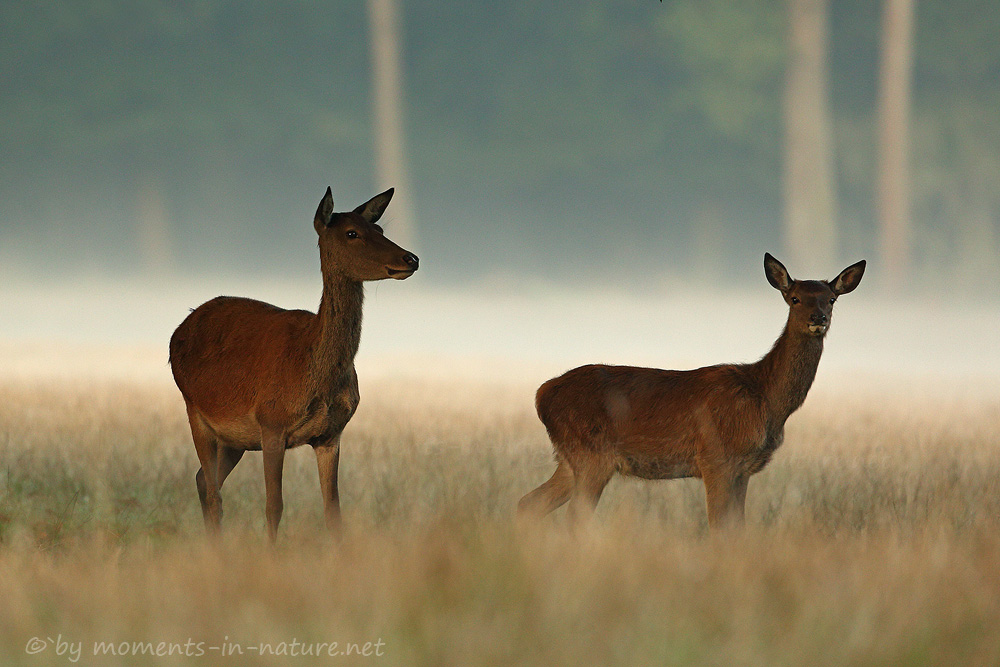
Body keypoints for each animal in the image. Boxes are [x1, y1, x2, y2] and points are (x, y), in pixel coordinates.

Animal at [170, 185, 420, 540]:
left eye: (381, 229)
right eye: (352, 233)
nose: (411, 258)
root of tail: (178, 331)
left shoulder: (331, 434)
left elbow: (333, 512)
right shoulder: (272, 424)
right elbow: (274, 506)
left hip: (235, 439)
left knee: (203, 480)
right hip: (195, 410)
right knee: (213, 491)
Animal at [520, 256, 864, 532]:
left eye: (831, 299)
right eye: (794, 298)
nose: (818, 318)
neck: (764, 398)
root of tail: (542, 395)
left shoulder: (743, 470)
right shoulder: (716, 458)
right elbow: (720, 530)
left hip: (570, 459)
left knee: (529, 503)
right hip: (592, 453)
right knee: (574, 518)